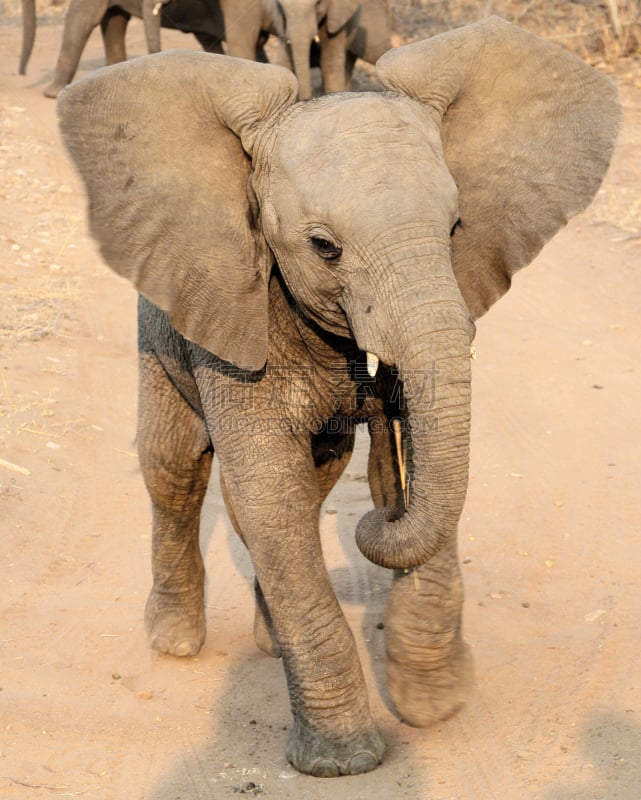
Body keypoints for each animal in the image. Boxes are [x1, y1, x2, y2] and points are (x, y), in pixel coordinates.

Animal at [57, 18, 616, 780]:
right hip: (159, 321)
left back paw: (269, 641)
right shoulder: (234, 311)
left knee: (307, 481)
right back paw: (174, 641)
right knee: (174, 470)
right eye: (324, 248)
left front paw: (432, 704)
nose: (378, 514)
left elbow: (393, 467)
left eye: (454, 229)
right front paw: (343, 761)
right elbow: (266, 489)